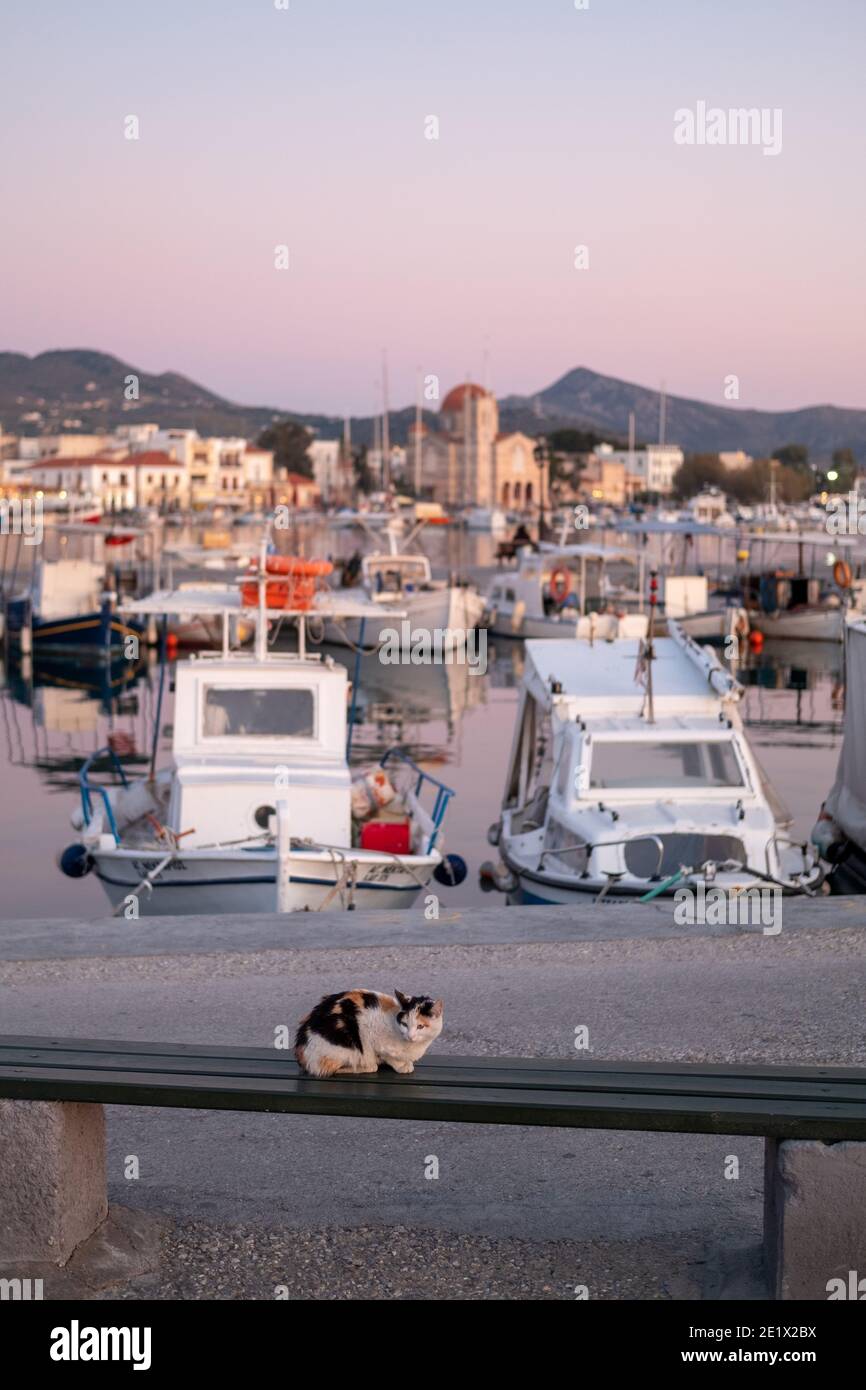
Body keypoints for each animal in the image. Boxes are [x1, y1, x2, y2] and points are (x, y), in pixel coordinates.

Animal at [297, 984, 447, 1078]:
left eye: (420, 1026)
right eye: (404, 1024)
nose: (410, 1036)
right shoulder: (372, 1034)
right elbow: (389, 1056)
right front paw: (402, 1066)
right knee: (332, 1069)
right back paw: (365, 1066)